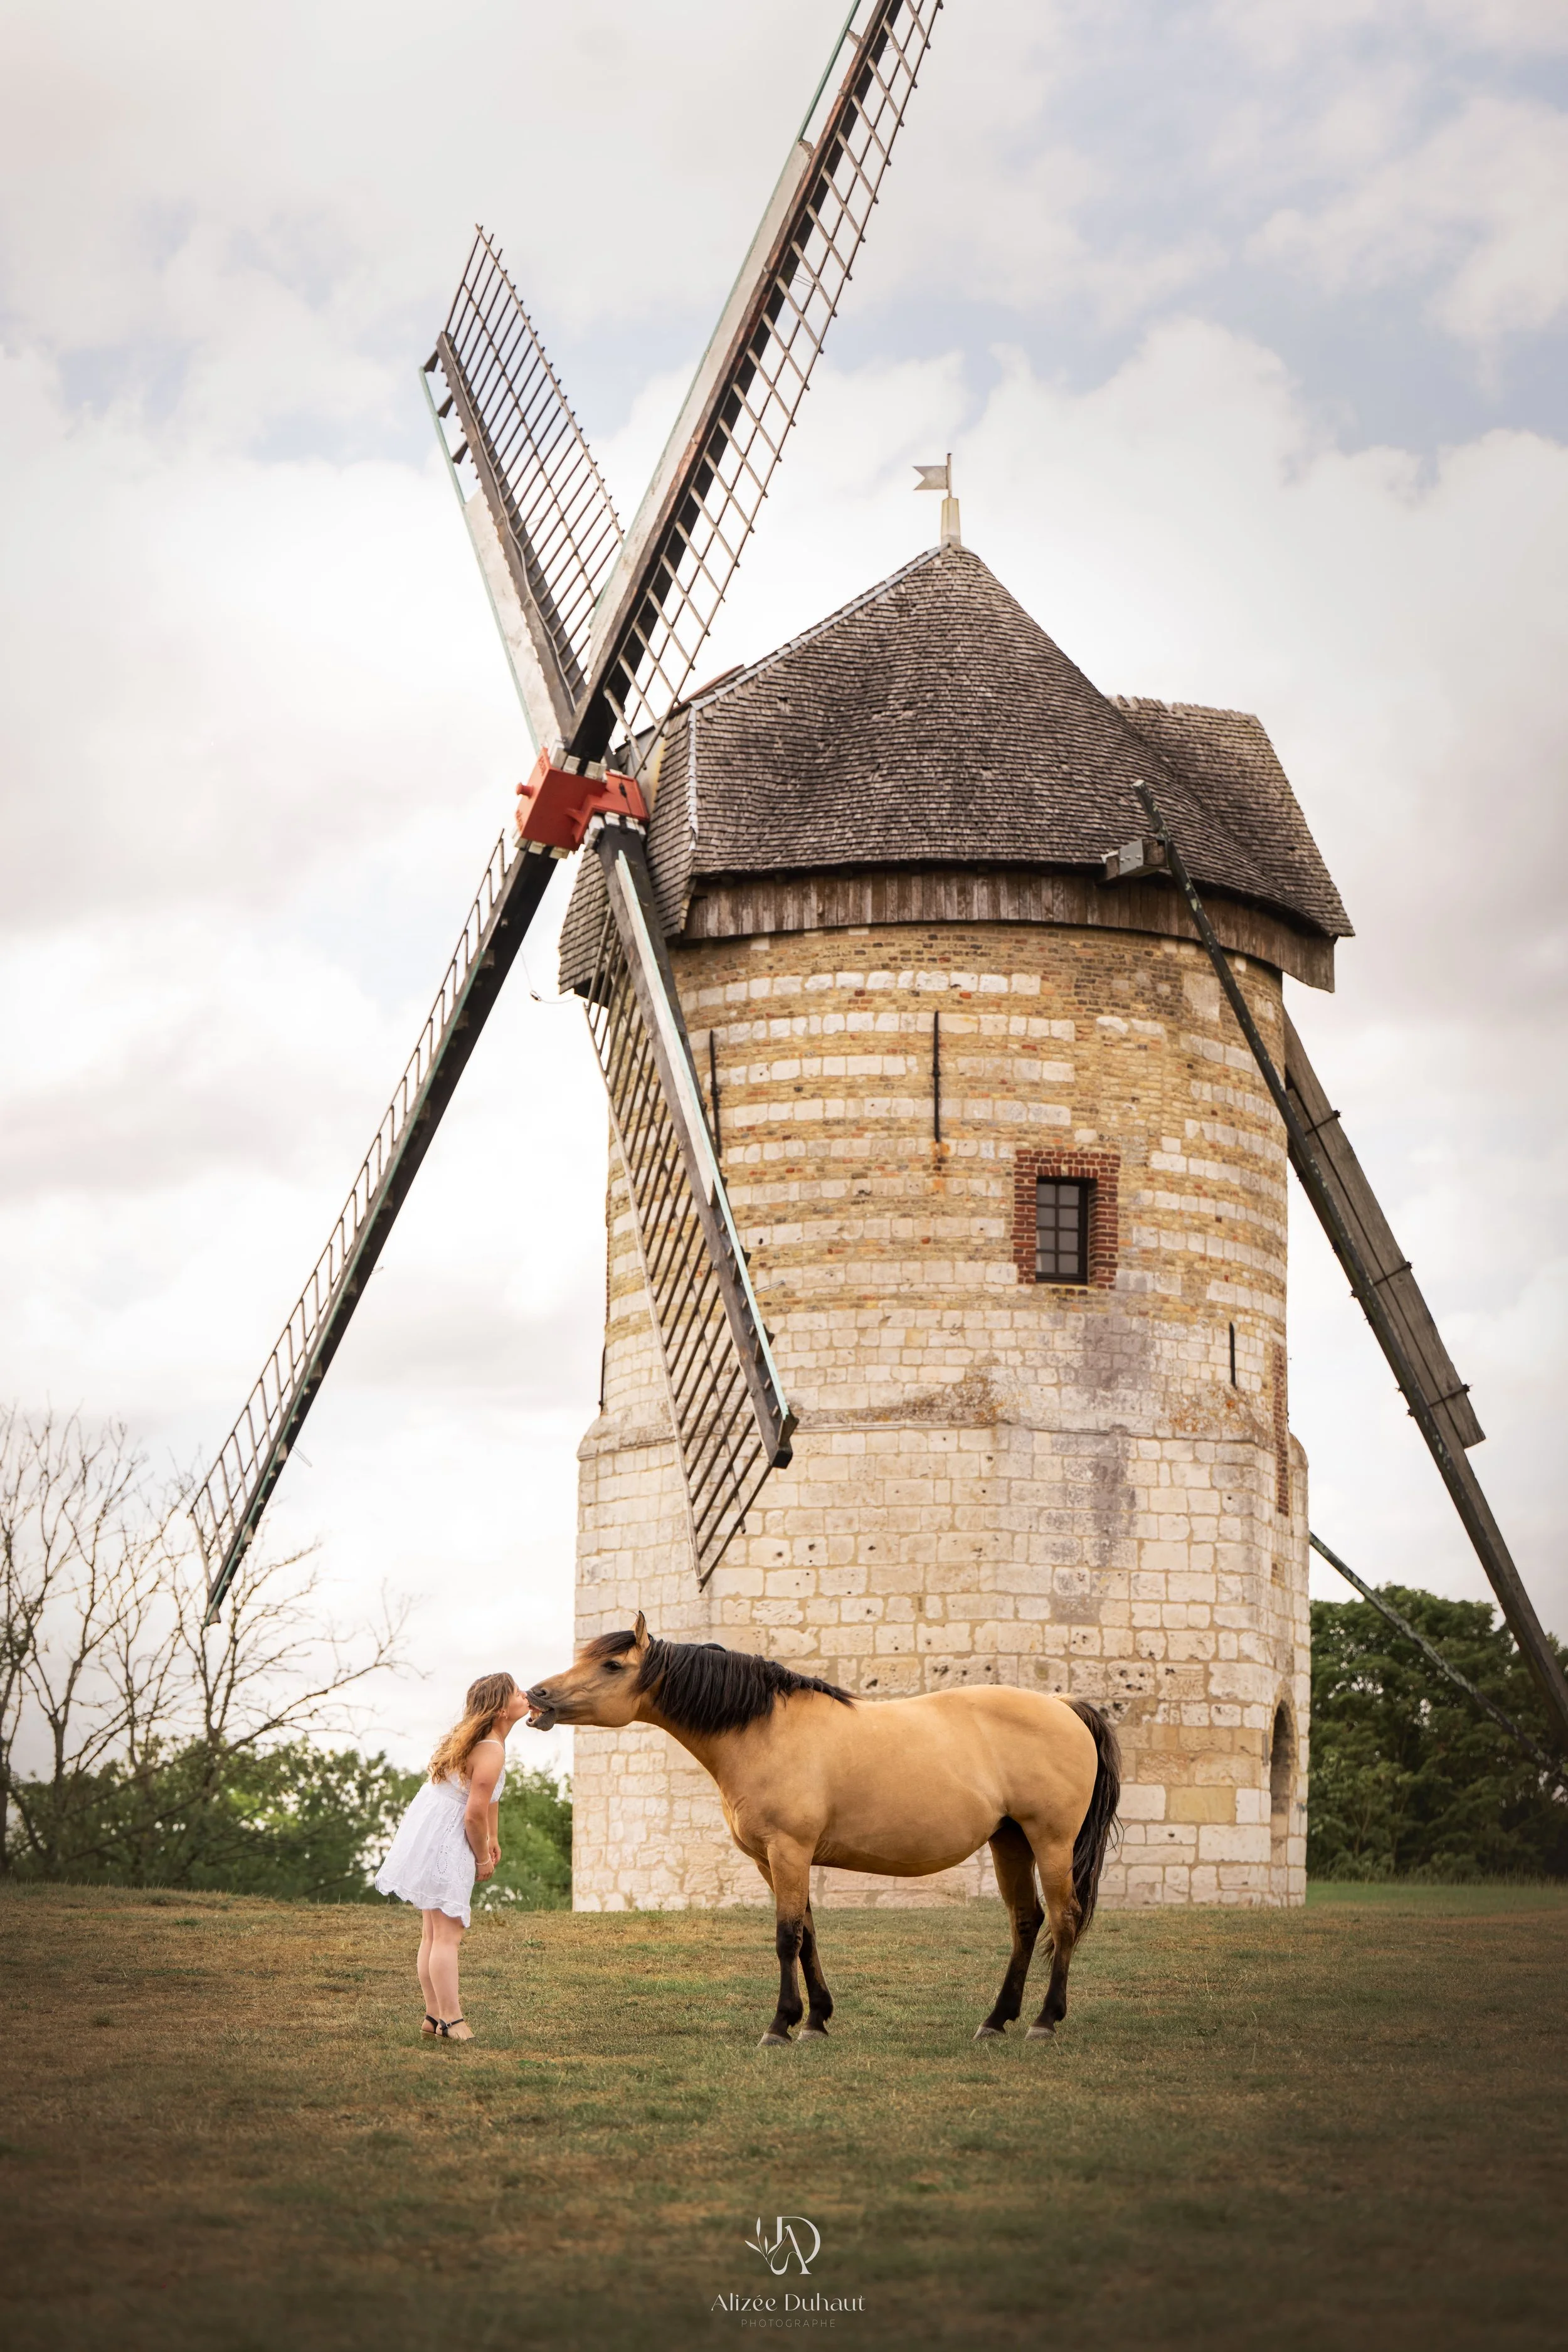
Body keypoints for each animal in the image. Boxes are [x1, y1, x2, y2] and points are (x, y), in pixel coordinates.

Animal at [525, 1614, 1121, 2048]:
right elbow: (808, 1933)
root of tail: (1065, 1705)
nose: (536, 1697)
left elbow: (787, 1936)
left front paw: (779, 2026)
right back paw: (996, 2020)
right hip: (1010, 1841)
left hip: (1050, 1841)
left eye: (611, 1664)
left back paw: (1044, 2020)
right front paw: (814, 2021)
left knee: (1064, 1920)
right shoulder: (773, 1860)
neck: (762, 1729)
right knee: (1026, 1922)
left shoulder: (789, 1851)